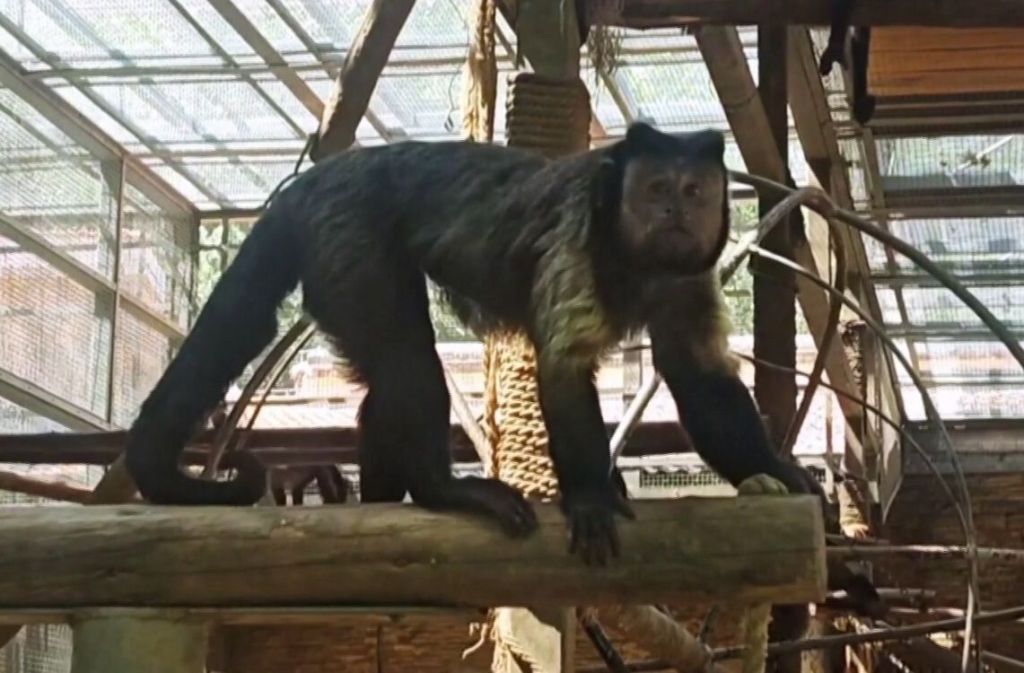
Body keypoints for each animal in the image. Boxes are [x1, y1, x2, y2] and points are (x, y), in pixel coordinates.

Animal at [124, 121, 831, 566]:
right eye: (655, 189)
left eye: (694, 191)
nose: (674, 213)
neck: (639, 264)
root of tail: (312, 183)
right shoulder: (576, 240)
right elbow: (562, 370)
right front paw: (592, 497)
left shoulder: (688, 277)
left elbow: (698, 376)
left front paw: (778, 471)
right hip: (346, 236)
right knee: (410, 361)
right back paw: (442, 490)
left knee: (385, 384)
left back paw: (384, 499)